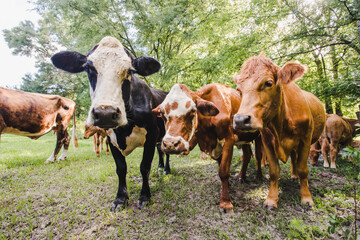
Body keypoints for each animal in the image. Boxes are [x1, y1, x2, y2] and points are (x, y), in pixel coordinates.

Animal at [51, 36, 170, 210]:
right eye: (89, 68)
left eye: (130, 71)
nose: (105, 114)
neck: (124, 129)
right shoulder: (110, 139)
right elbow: (121, 168)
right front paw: (120, 198)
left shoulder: (150, 136)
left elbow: (144, 167)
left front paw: (144, 196)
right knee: (160, 150)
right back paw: (160, 168)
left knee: (165, 152)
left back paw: (166, 169)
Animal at [152, 83, 262, 211]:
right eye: (162, 113)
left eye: (192, 111)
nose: (170, 144)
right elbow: (220, 167)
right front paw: (225, 187)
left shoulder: (228, 139)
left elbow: (223, 171)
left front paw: (225, 202)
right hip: (244, 138)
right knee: (247, 154)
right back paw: (241, 176)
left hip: (261, 134)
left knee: (259, 155)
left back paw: (259, 176)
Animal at [232, 54, 328, 208]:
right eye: (239, 89)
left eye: (268, 83)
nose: (240, 120)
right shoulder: (267, 142)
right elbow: (274, 171)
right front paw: (271, 199)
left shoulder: (306, 140)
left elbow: (303, 169)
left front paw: (307, 198)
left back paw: (295, 176)